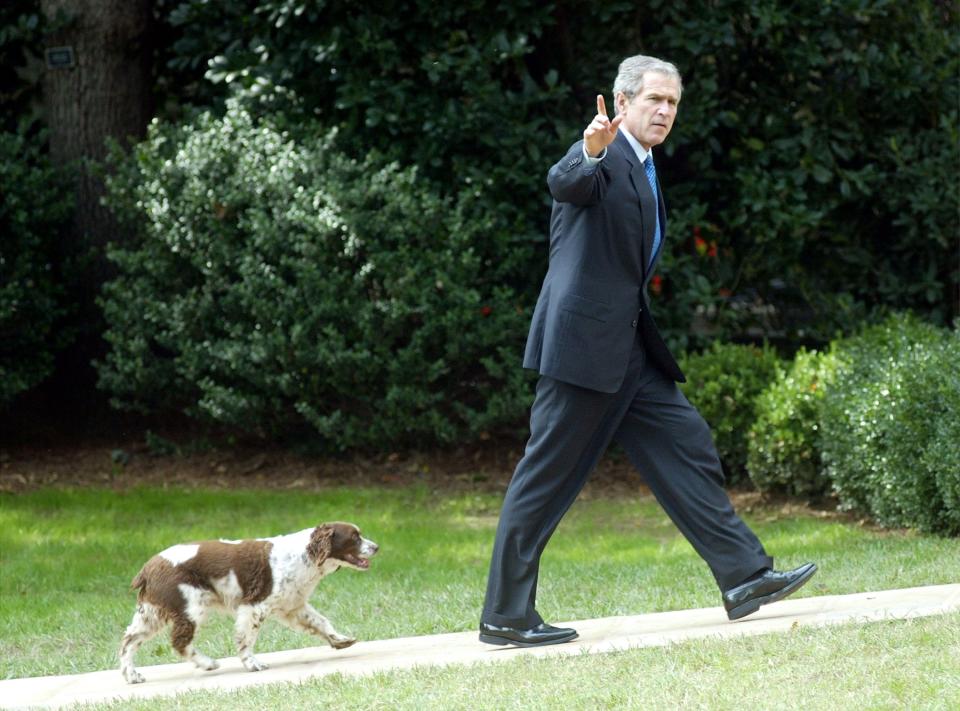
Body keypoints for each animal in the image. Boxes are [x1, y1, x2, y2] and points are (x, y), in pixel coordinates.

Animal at [118, 524, 376, 684]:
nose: (376, 547)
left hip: (153, 612)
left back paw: (132, 676)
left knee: (128, 641)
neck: (305, 556)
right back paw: (208, 663)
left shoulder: (293, 606)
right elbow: (246, 639)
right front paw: (252, 664)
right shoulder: (254, 606)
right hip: (191, 607)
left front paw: (341, 640)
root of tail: (148, 567)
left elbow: (321, 622)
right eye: (355, 537)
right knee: (179, 641)